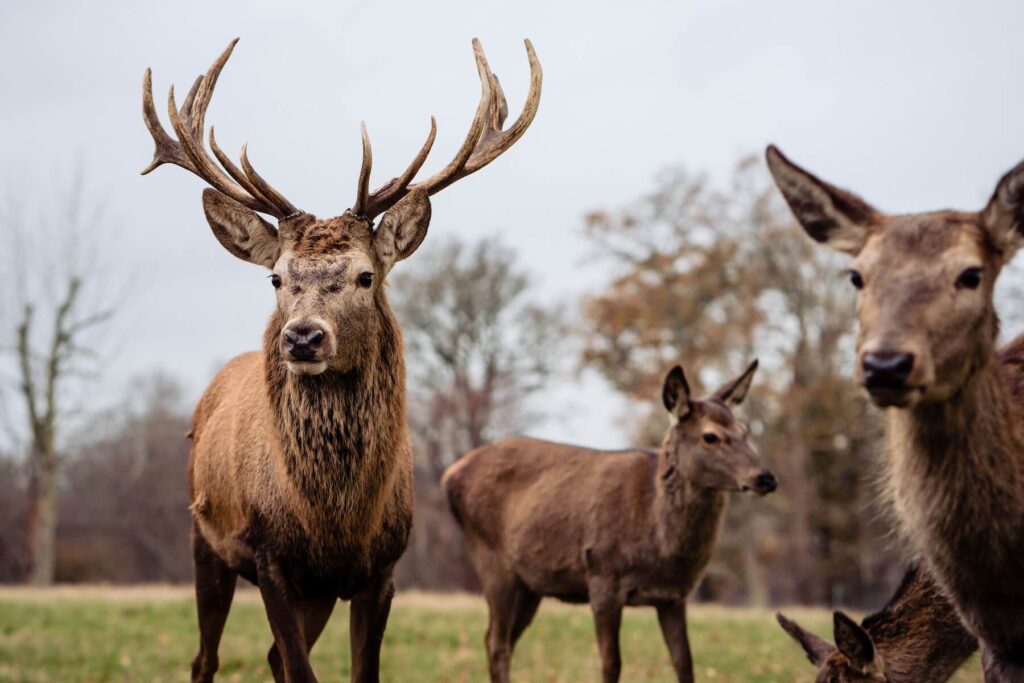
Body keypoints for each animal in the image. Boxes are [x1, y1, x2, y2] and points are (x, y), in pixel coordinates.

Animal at [140, 37, 541, 683]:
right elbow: (300, 669)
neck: (334, 522)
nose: (302, 338)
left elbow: (355, 669)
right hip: (205, 535)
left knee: (269, 655)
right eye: (277, 277)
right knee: (206, 656)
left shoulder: (381, 569)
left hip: (316, 589)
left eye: (365, 275)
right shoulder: (270, 559)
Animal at [442, 360, 777, 683]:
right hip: (492, 559)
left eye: (745, 430)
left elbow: (685, 664)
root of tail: (450, 474)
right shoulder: (603, 577)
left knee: (504, 640)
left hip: (530, 584)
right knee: (496, 642)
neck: (657, 537)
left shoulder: (674, 595)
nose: (766, 478)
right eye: (710, 436)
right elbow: (611, 664)